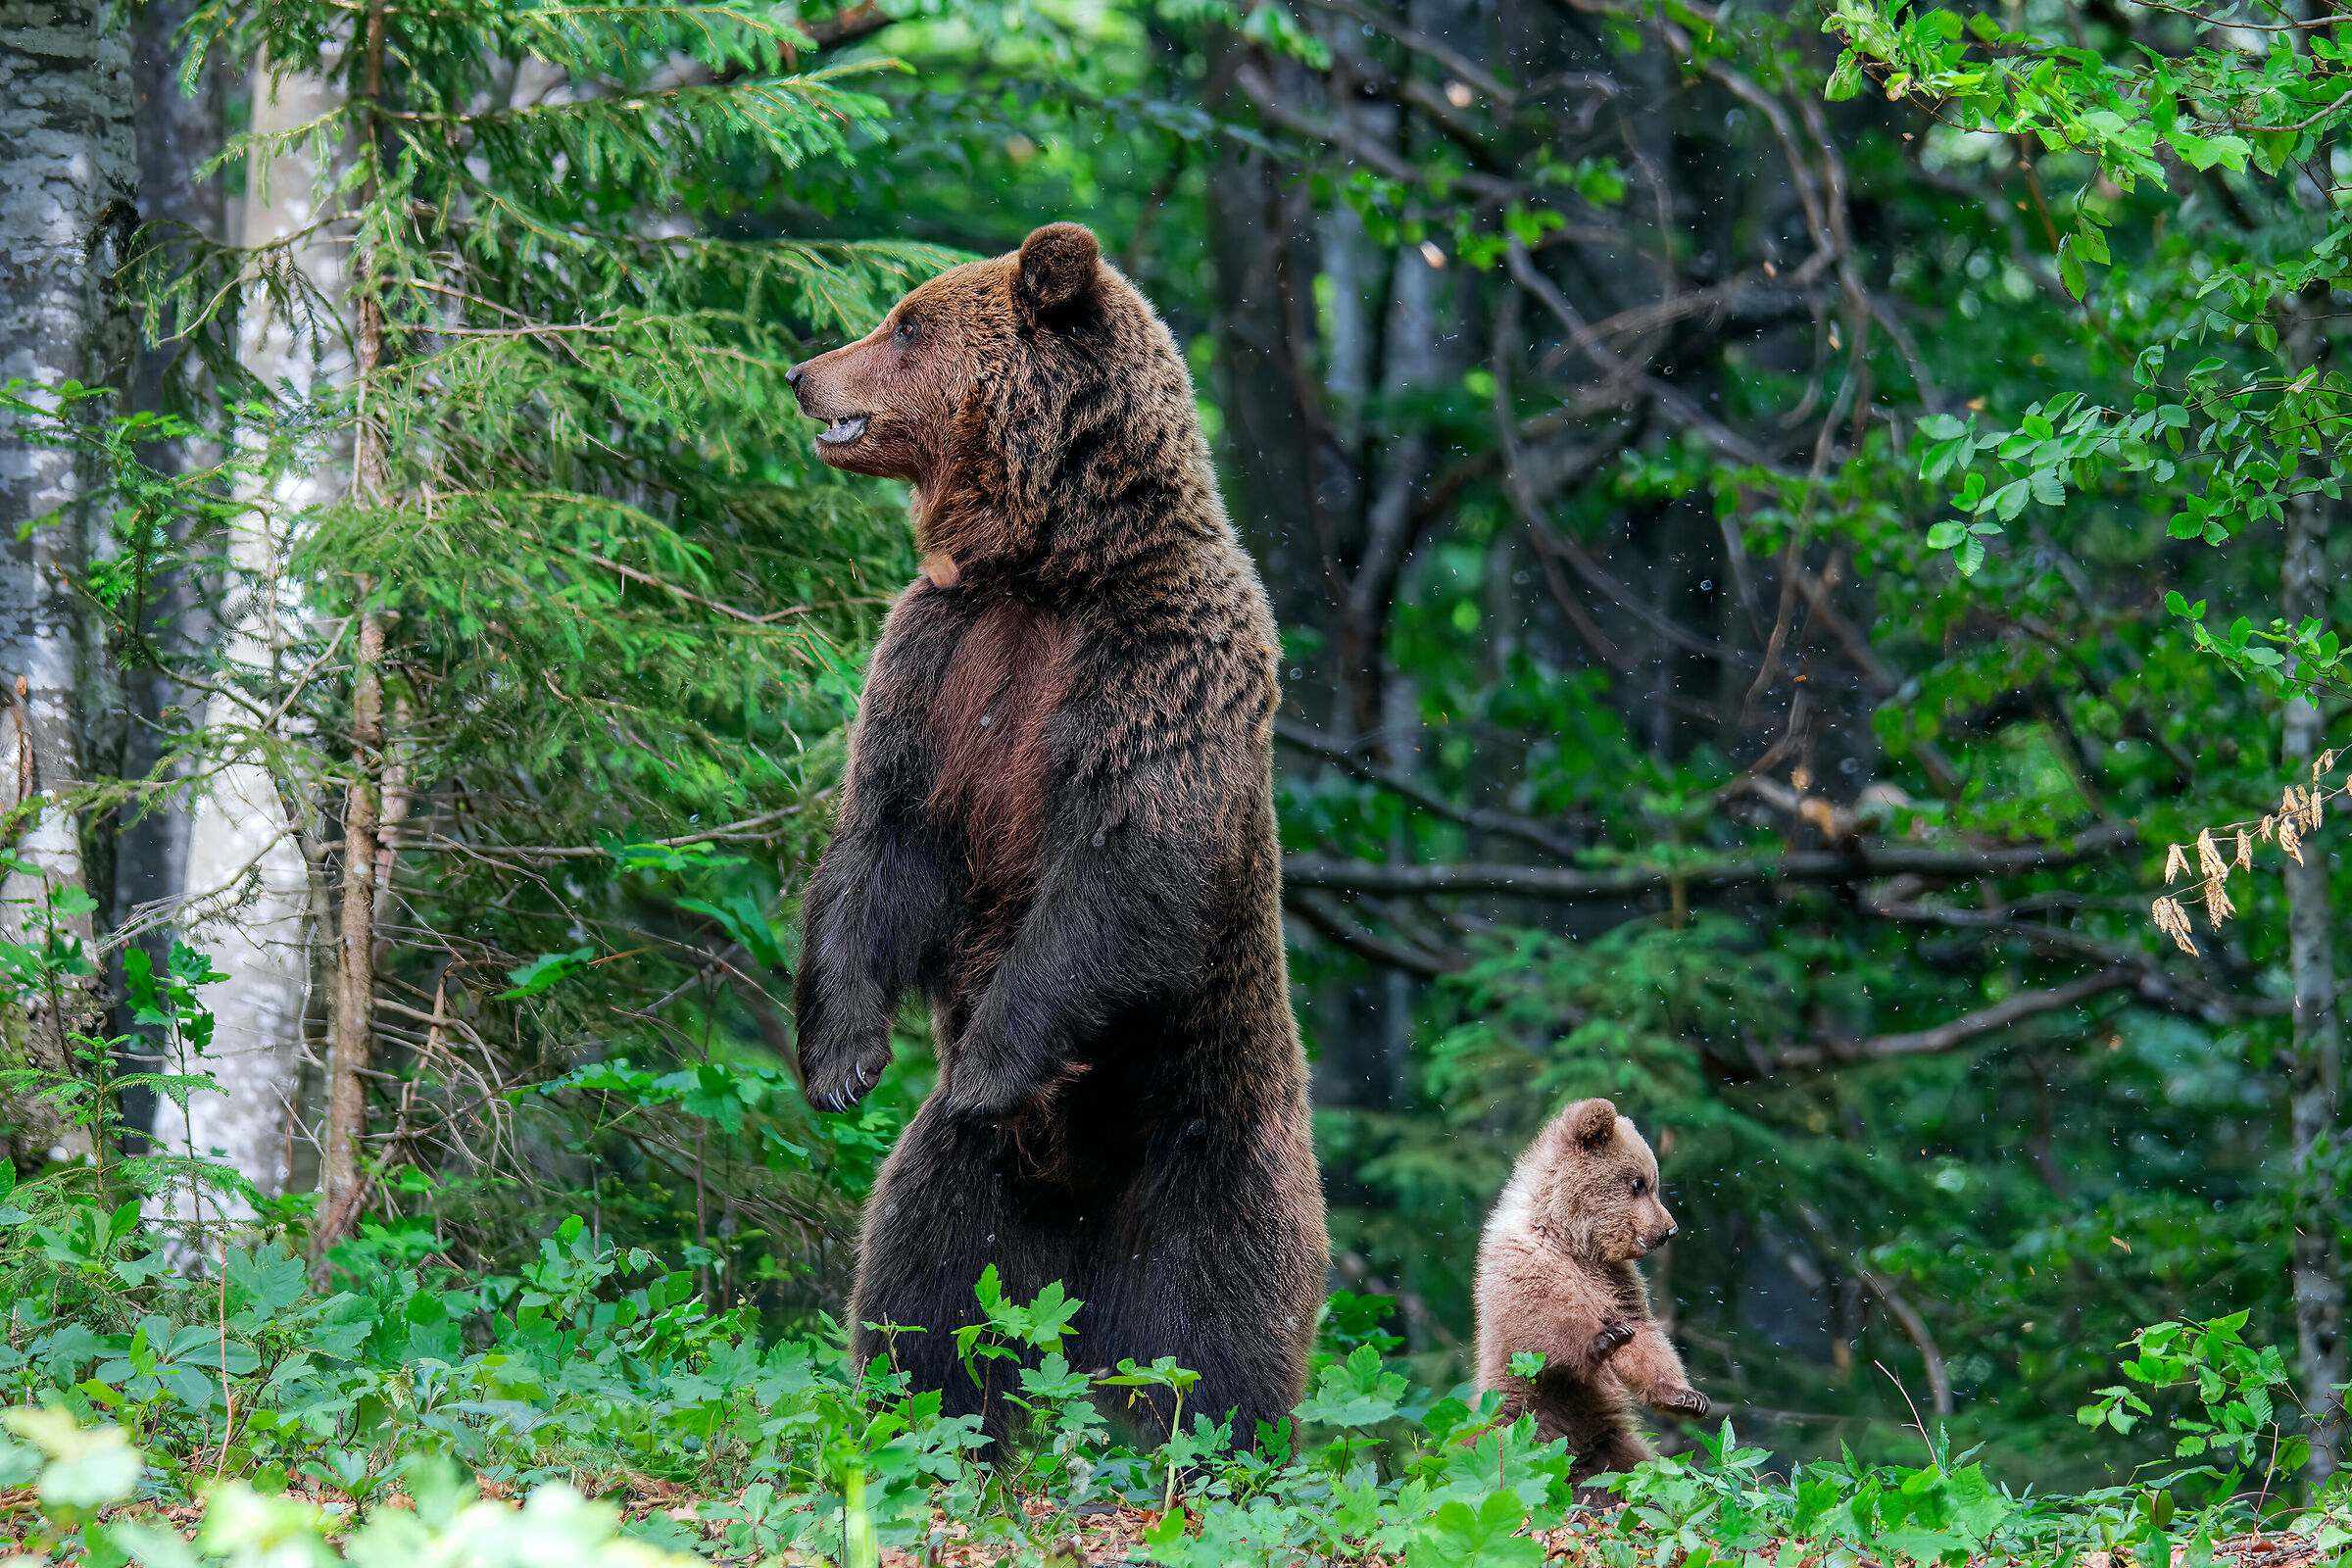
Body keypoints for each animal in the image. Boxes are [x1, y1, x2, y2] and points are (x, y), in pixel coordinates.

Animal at [783, 222, 1328, 1447]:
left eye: (904, 323)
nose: (800, 370)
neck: (1050, 562)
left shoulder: (1155, 660)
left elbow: (1124, 864)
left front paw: (988, 1067)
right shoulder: (939, 658)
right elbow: (883, 838)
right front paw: (840, 1060)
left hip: (1204, 1159)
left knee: (1207, 1349)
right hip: (969, 1196)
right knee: (923, 1295)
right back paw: (926, 1419)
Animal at [1473, 1098, 1708, 1492]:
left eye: (1654, 1182)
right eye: (1638, 1183)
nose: (1670, 1229)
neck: (1572, 1240)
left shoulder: (1616, 1279)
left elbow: (1645, 1337)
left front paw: (1687, 1396)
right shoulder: (1523, 1264)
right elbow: (1535, 1323)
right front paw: (1605, 1337)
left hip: (1612, 1450)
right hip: (1511, 1425)